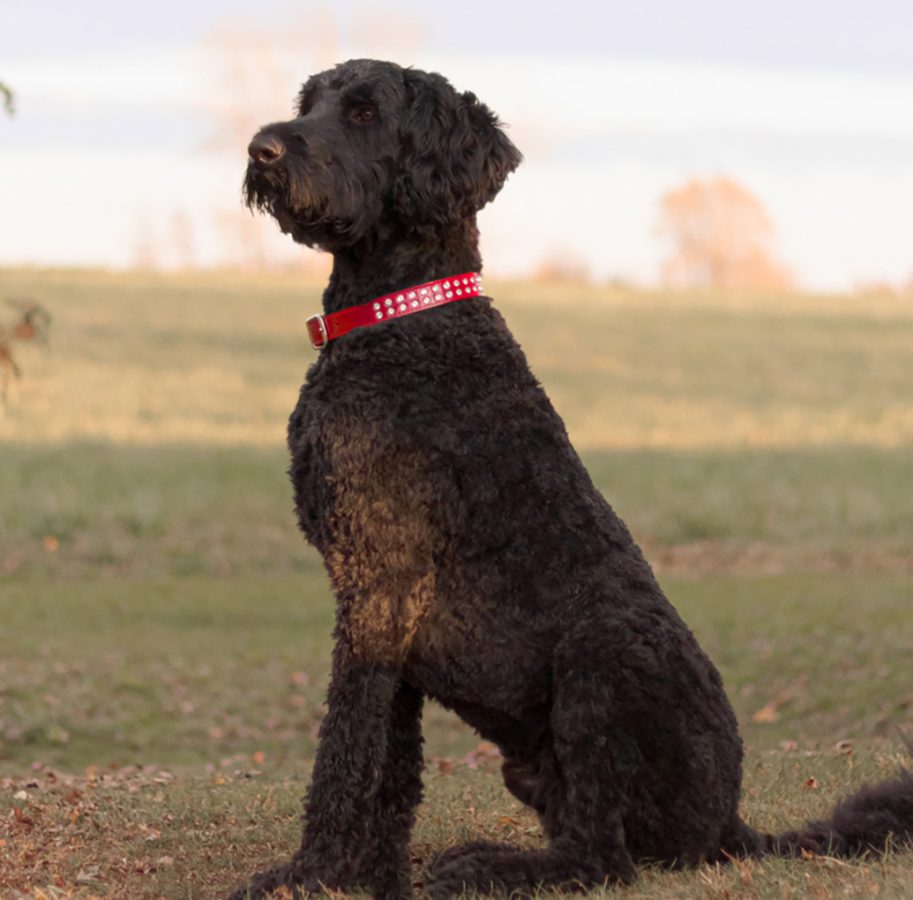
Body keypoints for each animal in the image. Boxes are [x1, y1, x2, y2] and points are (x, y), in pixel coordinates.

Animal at [235, 59, 912, 896]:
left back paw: (486, 866)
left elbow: (346, 748)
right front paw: (367, 872)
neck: (401, 321)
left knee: (600, 860)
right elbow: (389, 764)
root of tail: (730, 826)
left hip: (601, 655)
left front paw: (313, 873)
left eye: (362, 113)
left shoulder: (378, 586)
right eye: (311, 102)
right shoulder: (383, 609)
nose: (261, 148)